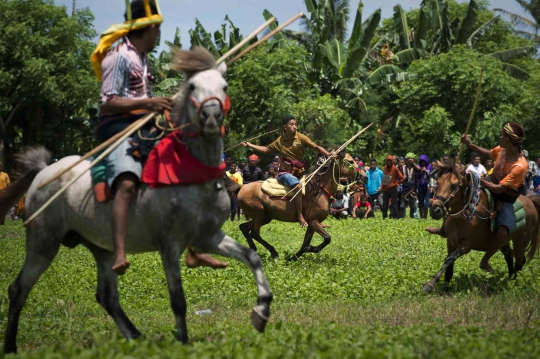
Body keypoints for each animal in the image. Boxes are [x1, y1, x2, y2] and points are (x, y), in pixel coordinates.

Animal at [0, 47, 270, 354]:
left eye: (224, 87)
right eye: (192, 86)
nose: (211, 116)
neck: (190, 174)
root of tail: (43, 172)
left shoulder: (208, 237)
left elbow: (253, 257)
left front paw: (261, 312)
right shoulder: (169, 245)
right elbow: (178, 299)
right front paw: (183, 342)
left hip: (101, 247)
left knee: (106, 296)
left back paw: (135, 336)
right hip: (43, 242)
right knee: (18, 289)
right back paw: (10, 345)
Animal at [424, 163, 536, 292]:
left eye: (454, 186)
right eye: (438, 183)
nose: (435, 210)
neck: (463, 217)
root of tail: (530, 201)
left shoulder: (466, 245)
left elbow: (449, 259)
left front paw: (430, 284)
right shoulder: (450, 242)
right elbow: (449, 267)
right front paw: (445, 289)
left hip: (521, 241)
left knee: (518, 260)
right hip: (505, 242)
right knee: (509, 255)